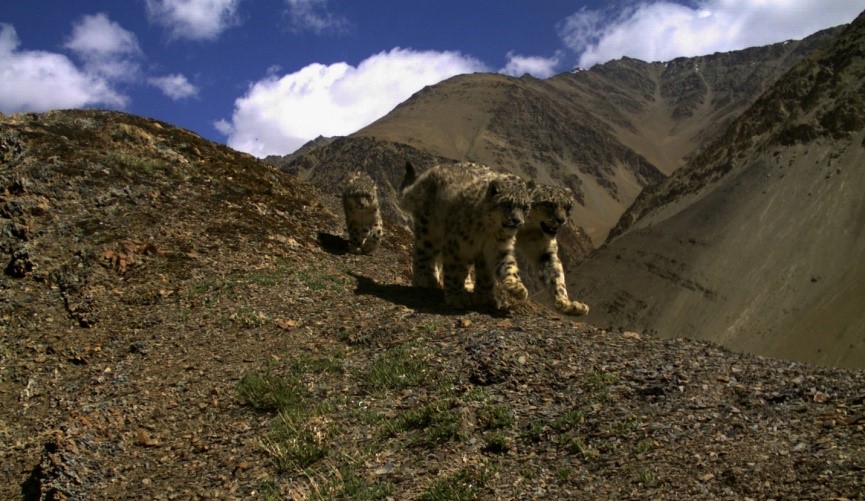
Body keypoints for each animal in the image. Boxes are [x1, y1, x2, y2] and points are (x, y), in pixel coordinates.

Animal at [400, 161, 532, 308]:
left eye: (525, 207)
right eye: (507, 204)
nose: (517, 220)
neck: (490, 231)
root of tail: (429, 172)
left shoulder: (498, 247)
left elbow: (503, 267)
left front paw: (514, 289)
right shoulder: (458, 245)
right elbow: (455, 270)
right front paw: (457, 297)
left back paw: (468, 284)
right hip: (429, 228)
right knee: (424, 250)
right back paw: (425, 278)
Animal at [516, 183, 592, 316]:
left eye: (567, 206)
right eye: (550, 204)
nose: (561, 220)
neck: (527, 231)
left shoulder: (544, 252)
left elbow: (555, 278)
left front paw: (568, 305)